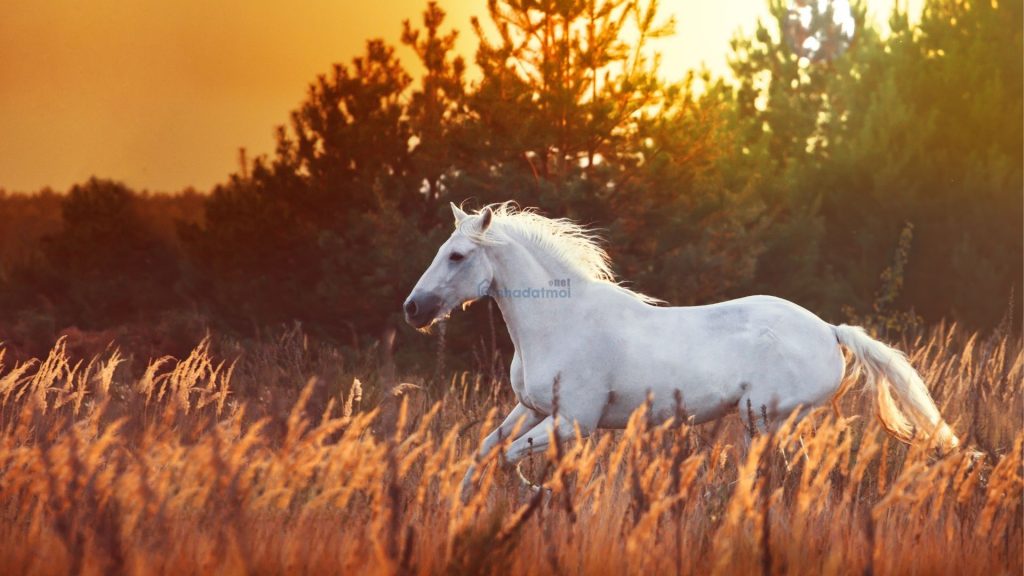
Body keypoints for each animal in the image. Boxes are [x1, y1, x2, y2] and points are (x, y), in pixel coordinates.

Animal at [403, 201, 954, 487]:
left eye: (456, 256)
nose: (413, 309)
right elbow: (484, 451)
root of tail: (829, 330)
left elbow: (511, 457)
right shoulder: (532, 408)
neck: (561, 323)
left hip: (765, 419)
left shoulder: (574, 421)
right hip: (762, 425)